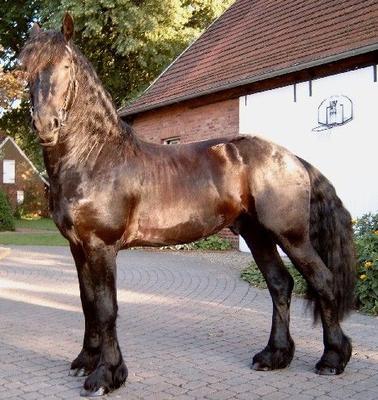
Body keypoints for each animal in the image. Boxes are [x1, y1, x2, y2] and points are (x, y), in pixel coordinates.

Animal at [20, 12, 356, 396]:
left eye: (65, 65)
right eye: (25, 68)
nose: (46, 125)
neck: (95, 157)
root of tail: (292, 158)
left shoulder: (101, 247)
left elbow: (106, 308)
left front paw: (106, 375)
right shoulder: (78, 247)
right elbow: (87, 302)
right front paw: (84, 362)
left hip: (292, 236)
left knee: (322, 281)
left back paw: (332, 359)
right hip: (257, 234)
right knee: (280, 284)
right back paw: (273, 355)